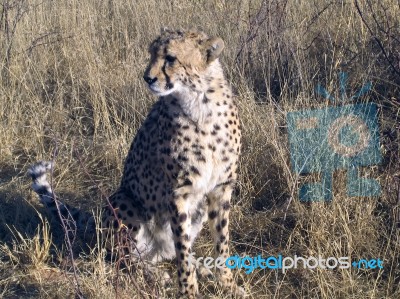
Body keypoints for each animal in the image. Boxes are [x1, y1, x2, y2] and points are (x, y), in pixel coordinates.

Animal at [28, 27, 244, 298]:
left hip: (197, 209)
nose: (147, 78)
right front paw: (188, 290)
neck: (200, 102)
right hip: (122, 202)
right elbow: (182, 249)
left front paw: (226, 284)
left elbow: (221, 240)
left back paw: (200, 266)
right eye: (151, 54)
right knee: (128, 258)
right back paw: (154, 273)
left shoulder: (220, 188)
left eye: (170, 58)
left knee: (168, 251)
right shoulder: (178, 192)